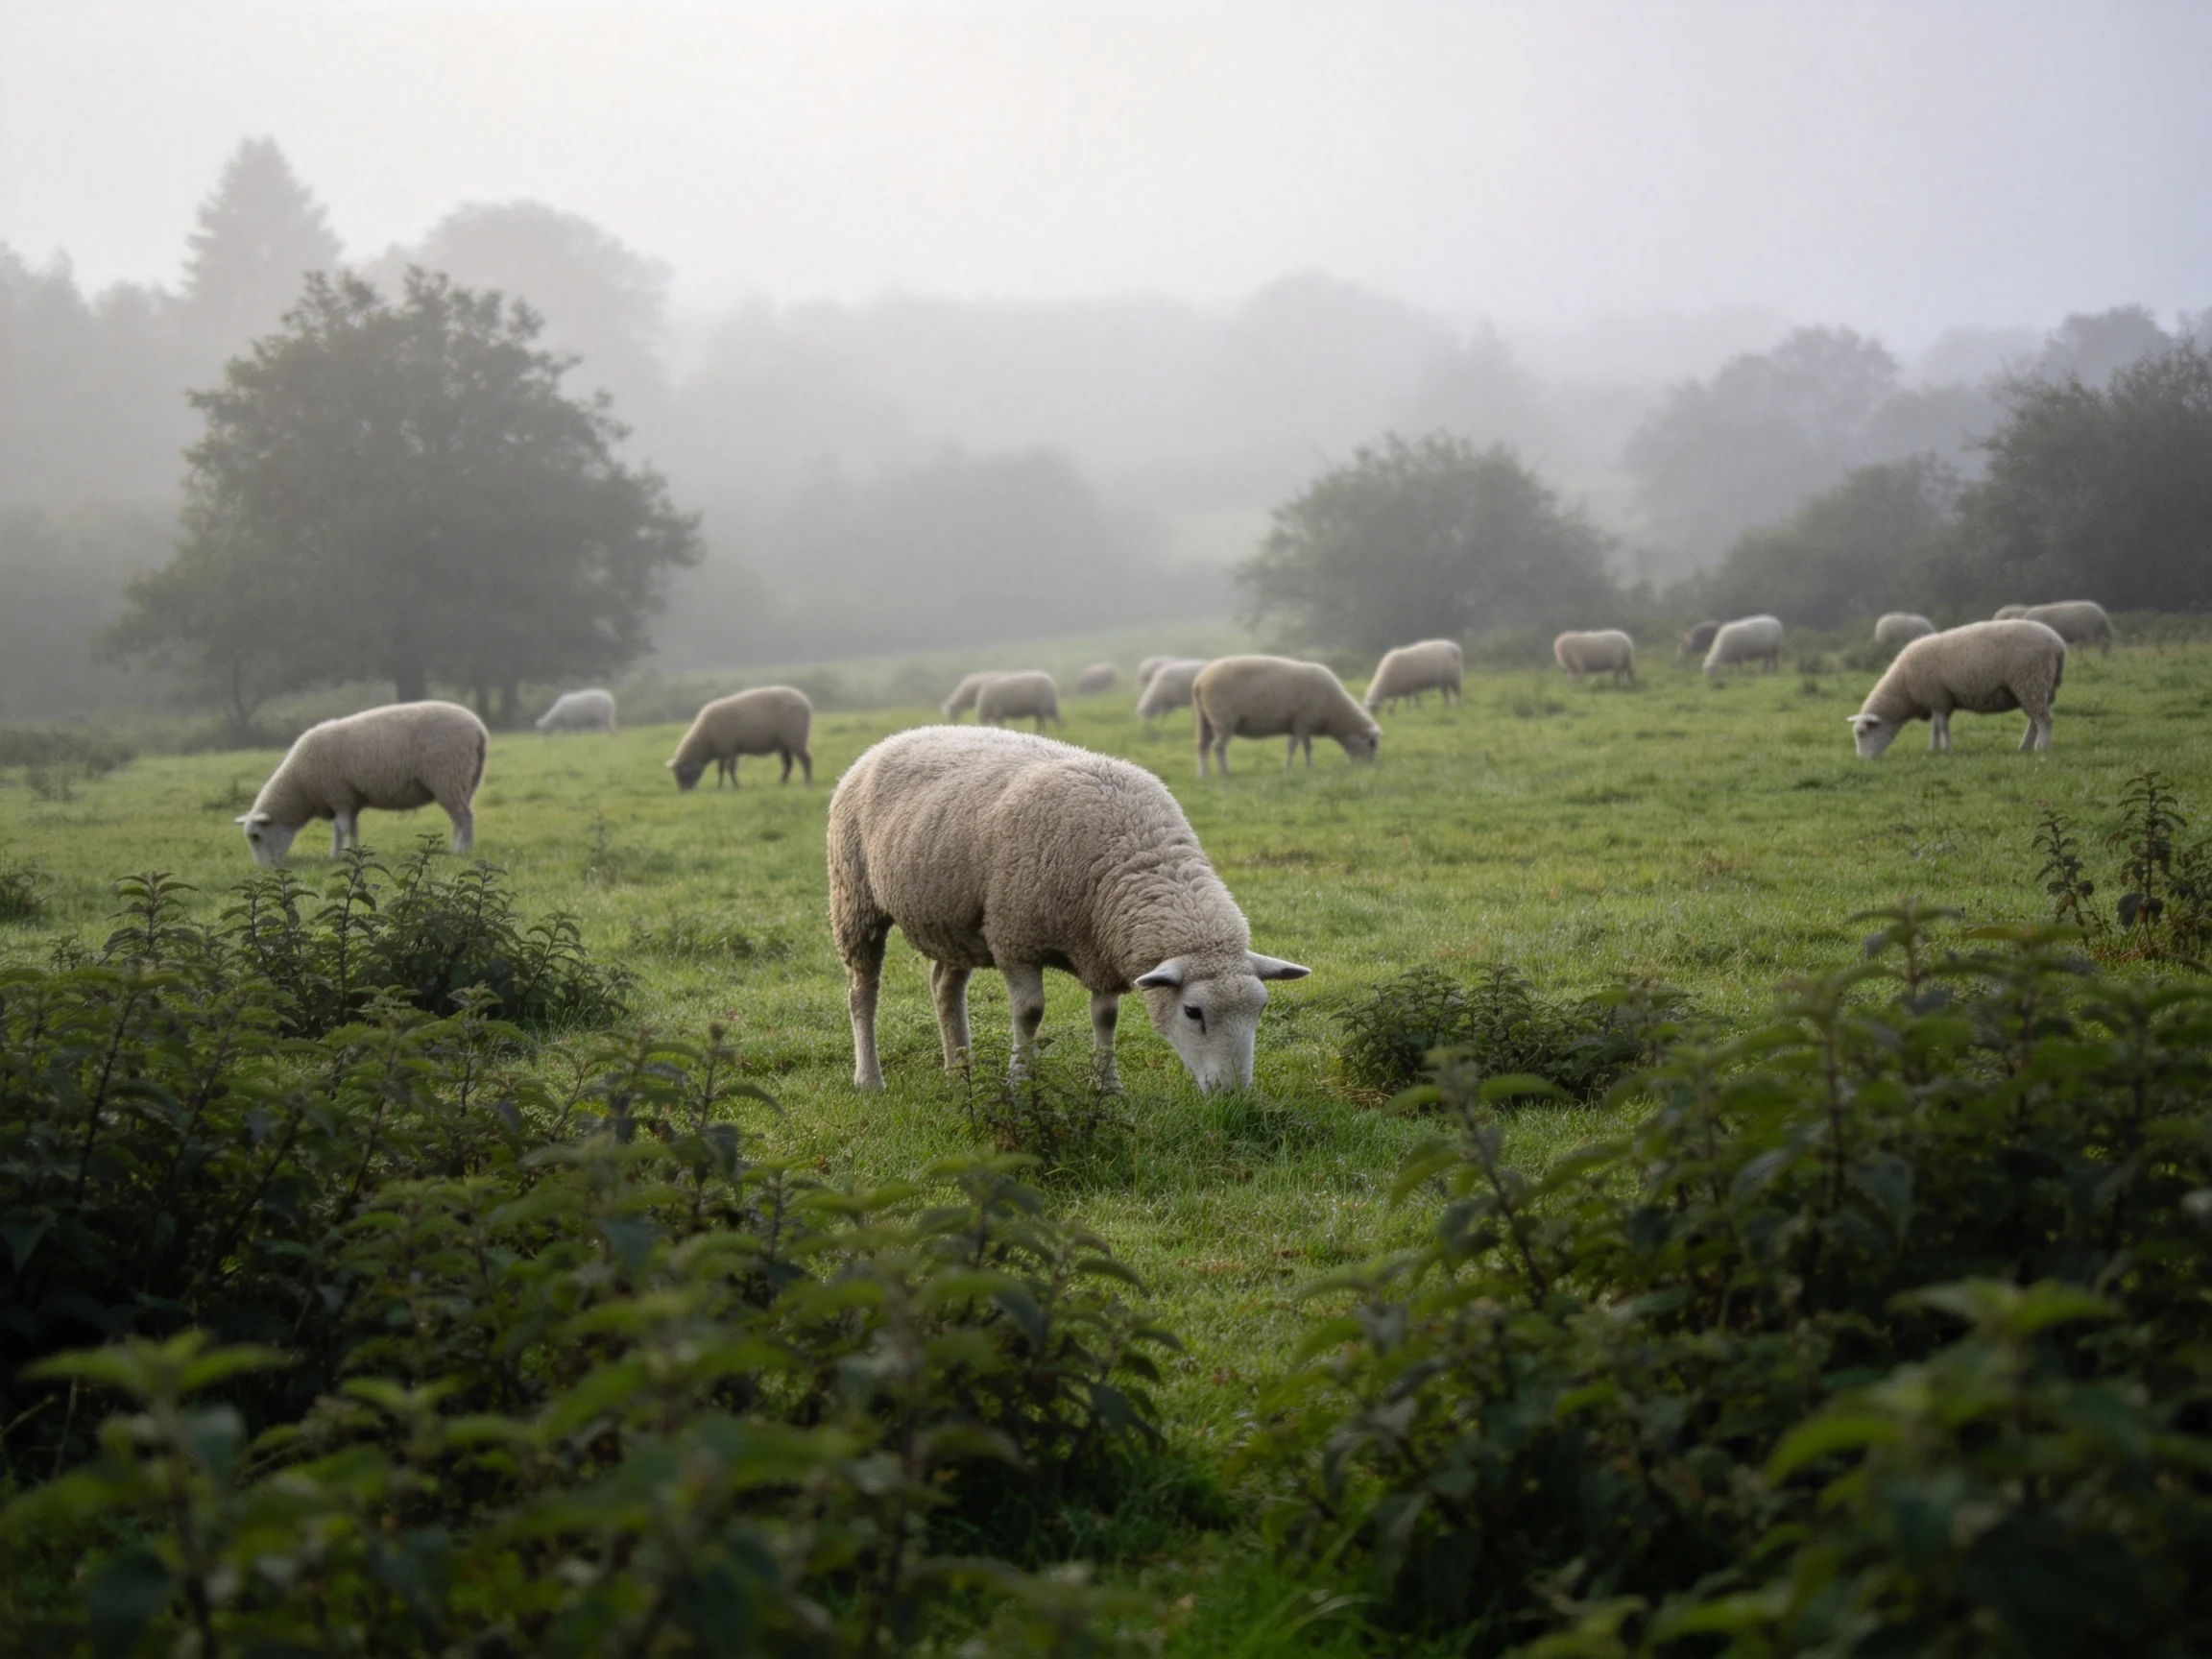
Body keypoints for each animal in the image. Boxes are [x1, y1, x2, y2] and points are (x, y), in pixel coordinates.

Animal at [238, 700, 487, 865]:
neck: (300, 787)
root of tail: (478, 729)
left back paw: (460, 851)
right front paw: (353, 851)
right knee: (462, 818)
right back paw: (463, 847)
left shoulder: (337, 794)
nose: (263, 869)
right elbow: (351, 827)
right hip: (466, 781)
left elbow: (340, 827)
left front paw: (336, 855)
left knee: (463, 818)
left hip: (448, 777)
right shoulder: (350, 799)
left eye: (256, 836)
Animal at [666, 687, 813, 790]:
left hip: (796, 739)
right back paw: (782, 782)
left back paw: (808, 782)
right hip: (784, 744)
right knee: (788, 764)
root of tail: (804, 701)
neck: (705, 740)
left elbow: (730, 769)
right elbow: (721, 770)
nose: (684, 792)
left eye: (682, 774)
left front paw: (735, 786)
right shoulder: (723, 750)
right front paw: (720, 786)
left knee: (806, 760)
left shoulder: (729, 748)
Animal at [828, 725, 1311, 1093]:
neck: (1134, 852)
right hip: (854, 899)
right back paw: (870, 1080)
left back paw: (959, 1069)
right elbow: (1029, 1014)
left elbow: (1106, 1018)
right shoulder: (1014, 938)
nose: (1234, 1094)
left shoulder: (1100, 948)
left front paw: (1108, 1088)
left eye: (1260, 1010)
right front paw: (1019, 1083)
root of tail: (893, 738)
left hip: (954, 919)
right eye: (1193, 1012)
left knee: (945, 987)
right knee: (862, 991)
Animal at [1193, 655, 1380, 776]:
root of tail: (1200, 682)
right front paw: (1302, 768)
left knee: (1202, 745)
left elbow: (1299, 747)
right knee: (1218, 747)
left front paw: (1297, 767)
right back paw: (1225, 772)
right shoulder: (1303, 721)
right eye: (1372, 743)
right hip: (1223, 718)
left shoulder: (1298, 724)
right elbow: (1301, 747)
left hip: (1204, 719)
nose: (1369, 768)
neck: (1335, 711)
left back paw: (1203, 774)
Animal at [1846, 620, 2066, 757]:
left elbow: (1940, 727)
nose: (1862, 760)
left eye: (1862, 733)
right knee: (2035, 720)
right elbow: (1938, 727)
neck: (1903, 689)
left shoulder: (1936, 697)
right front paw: (1937, 749)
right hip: (2039, 687)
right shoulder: (1940, 702)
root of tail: (2058, 645)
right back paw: (2025, 747)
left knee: (2045, 720)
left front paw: (1943, 750)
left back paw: (2042, 748)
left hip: (2031, 680)